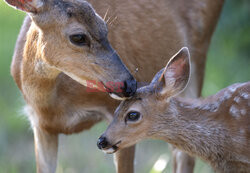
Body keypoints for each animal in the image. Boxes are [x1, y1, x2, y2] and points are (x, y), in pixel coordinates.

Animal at [5, 0, 225, 172]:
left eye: (105, 28)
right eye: (78, 37)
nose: (130, 84)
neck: (52, 107)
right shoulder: (41, 125)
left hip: (198, 57)